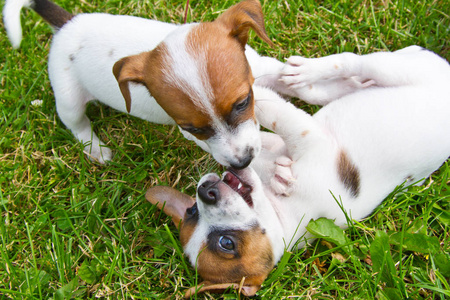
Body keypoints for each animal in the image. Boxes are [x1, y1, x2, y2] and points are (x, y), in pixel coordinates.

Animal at [146, 45, 450, 296]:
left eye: (191, 211)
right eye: (226, 243)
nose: (205, 191)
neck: (287, 212)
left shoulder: (292, 140)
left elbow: (263, 130)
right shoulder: (298, 143)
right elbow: (264, 136)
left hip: (396, 68)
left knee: (353, 63)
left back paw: (304, 73)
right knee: (354, 67)